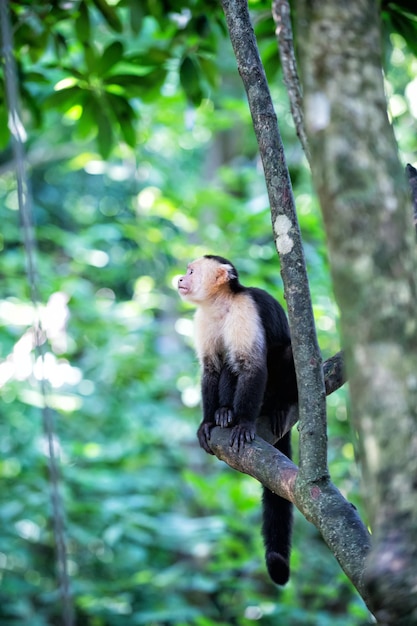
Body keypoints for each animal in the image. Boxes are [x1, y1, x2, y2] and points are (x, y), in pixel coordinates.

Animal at [177, 251, 298, 584]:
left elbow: (251, 366)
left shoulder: (245, 310)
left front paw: (243, 423)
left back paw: (278, 407)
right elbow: (211, 368)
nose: (180, 279)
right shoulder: (203, 319)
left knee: (283, 353)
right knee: (227, 365)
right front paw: (208, 421)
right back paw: (224, 412)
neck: (220, 303)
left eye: (191, 271)